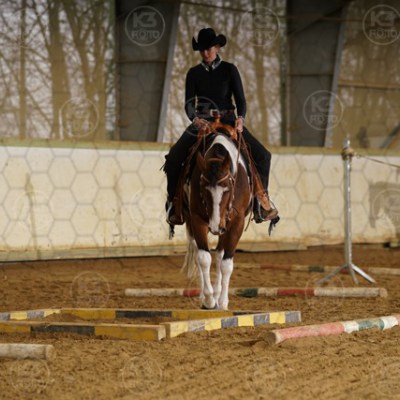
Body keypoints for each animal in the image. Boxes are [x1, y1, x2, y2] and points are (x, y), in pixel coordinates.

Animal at [182, 122, 252, 310]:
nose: (215, 226)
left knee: (220, 255)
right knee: (198, 253)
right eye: (203, 187)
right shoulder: (197, 220)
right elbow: (203, 258)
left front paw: (223, 301)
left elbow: (226, 263)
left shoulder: (236, 223)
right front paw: (209, 300)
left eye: (227, 188)